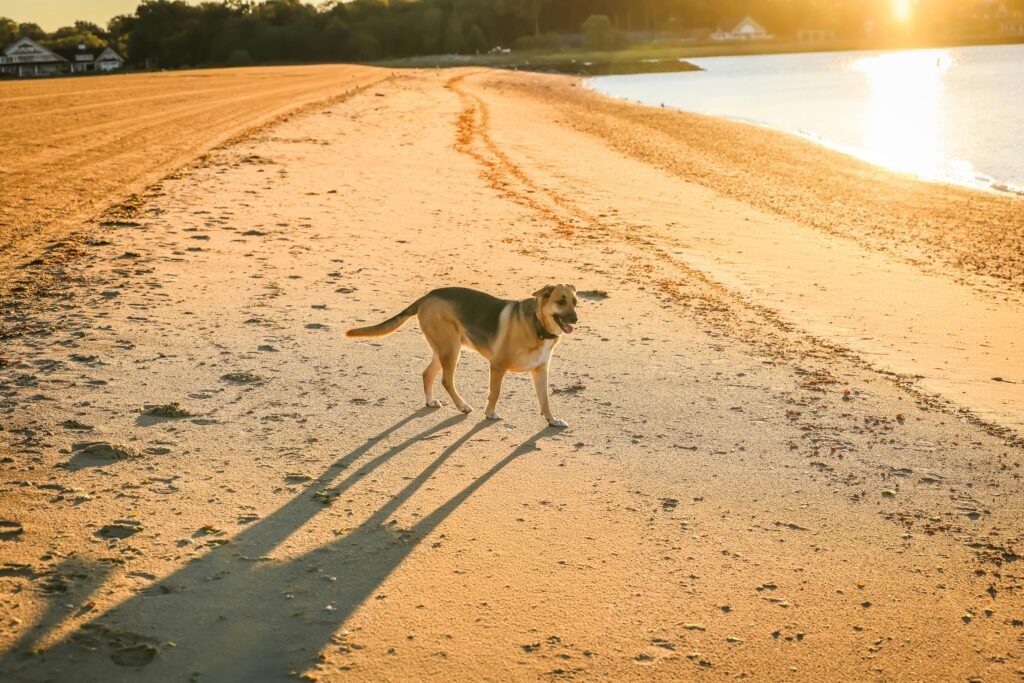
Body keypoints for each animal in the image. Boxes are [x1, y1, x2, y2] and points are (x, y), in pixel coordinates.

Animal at [348, 284, 581, 428]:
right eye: (561, 301)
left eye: (575, 302)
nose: (576, 319)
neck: (537, 324)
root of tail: (427, 296)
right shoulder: (498, 366)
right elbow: (495, 393)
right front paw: (490, 413)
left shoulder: (540, 371)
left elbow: (545, 400)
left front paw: (552, 420)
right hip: (450, 349)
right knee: (446, 380)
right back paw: (461, 406)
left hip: (444, 348)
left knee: (427, 374)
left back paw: (430, 401)